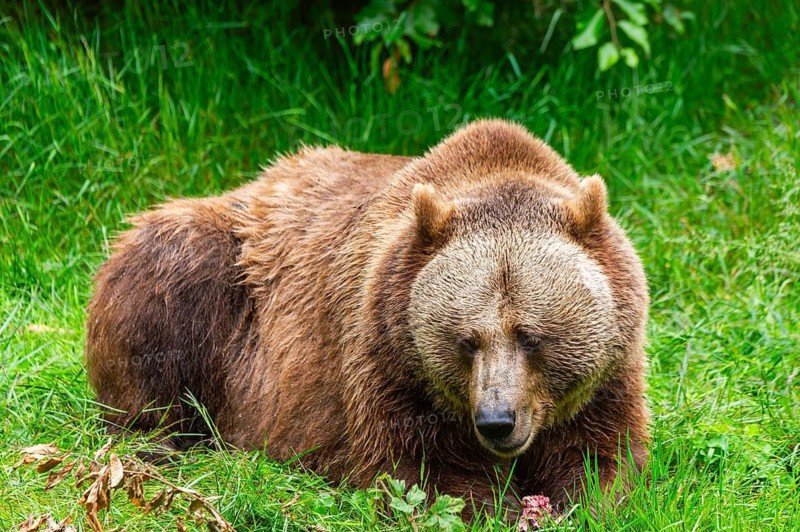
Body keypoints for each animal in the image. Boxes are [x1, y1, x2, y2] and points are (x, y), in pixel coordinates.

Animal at [86, 119, 649, 518]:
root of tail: (259, 179)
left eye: (530, 336)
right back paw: (157, 439)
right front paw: (502, 507)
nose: (497, 421)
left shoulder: (608, 371)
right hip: (218, 269)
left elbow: (604, 460)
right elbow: (418, 475)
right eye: (467, 339)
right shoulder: (385, 353)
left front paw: (573, 501)